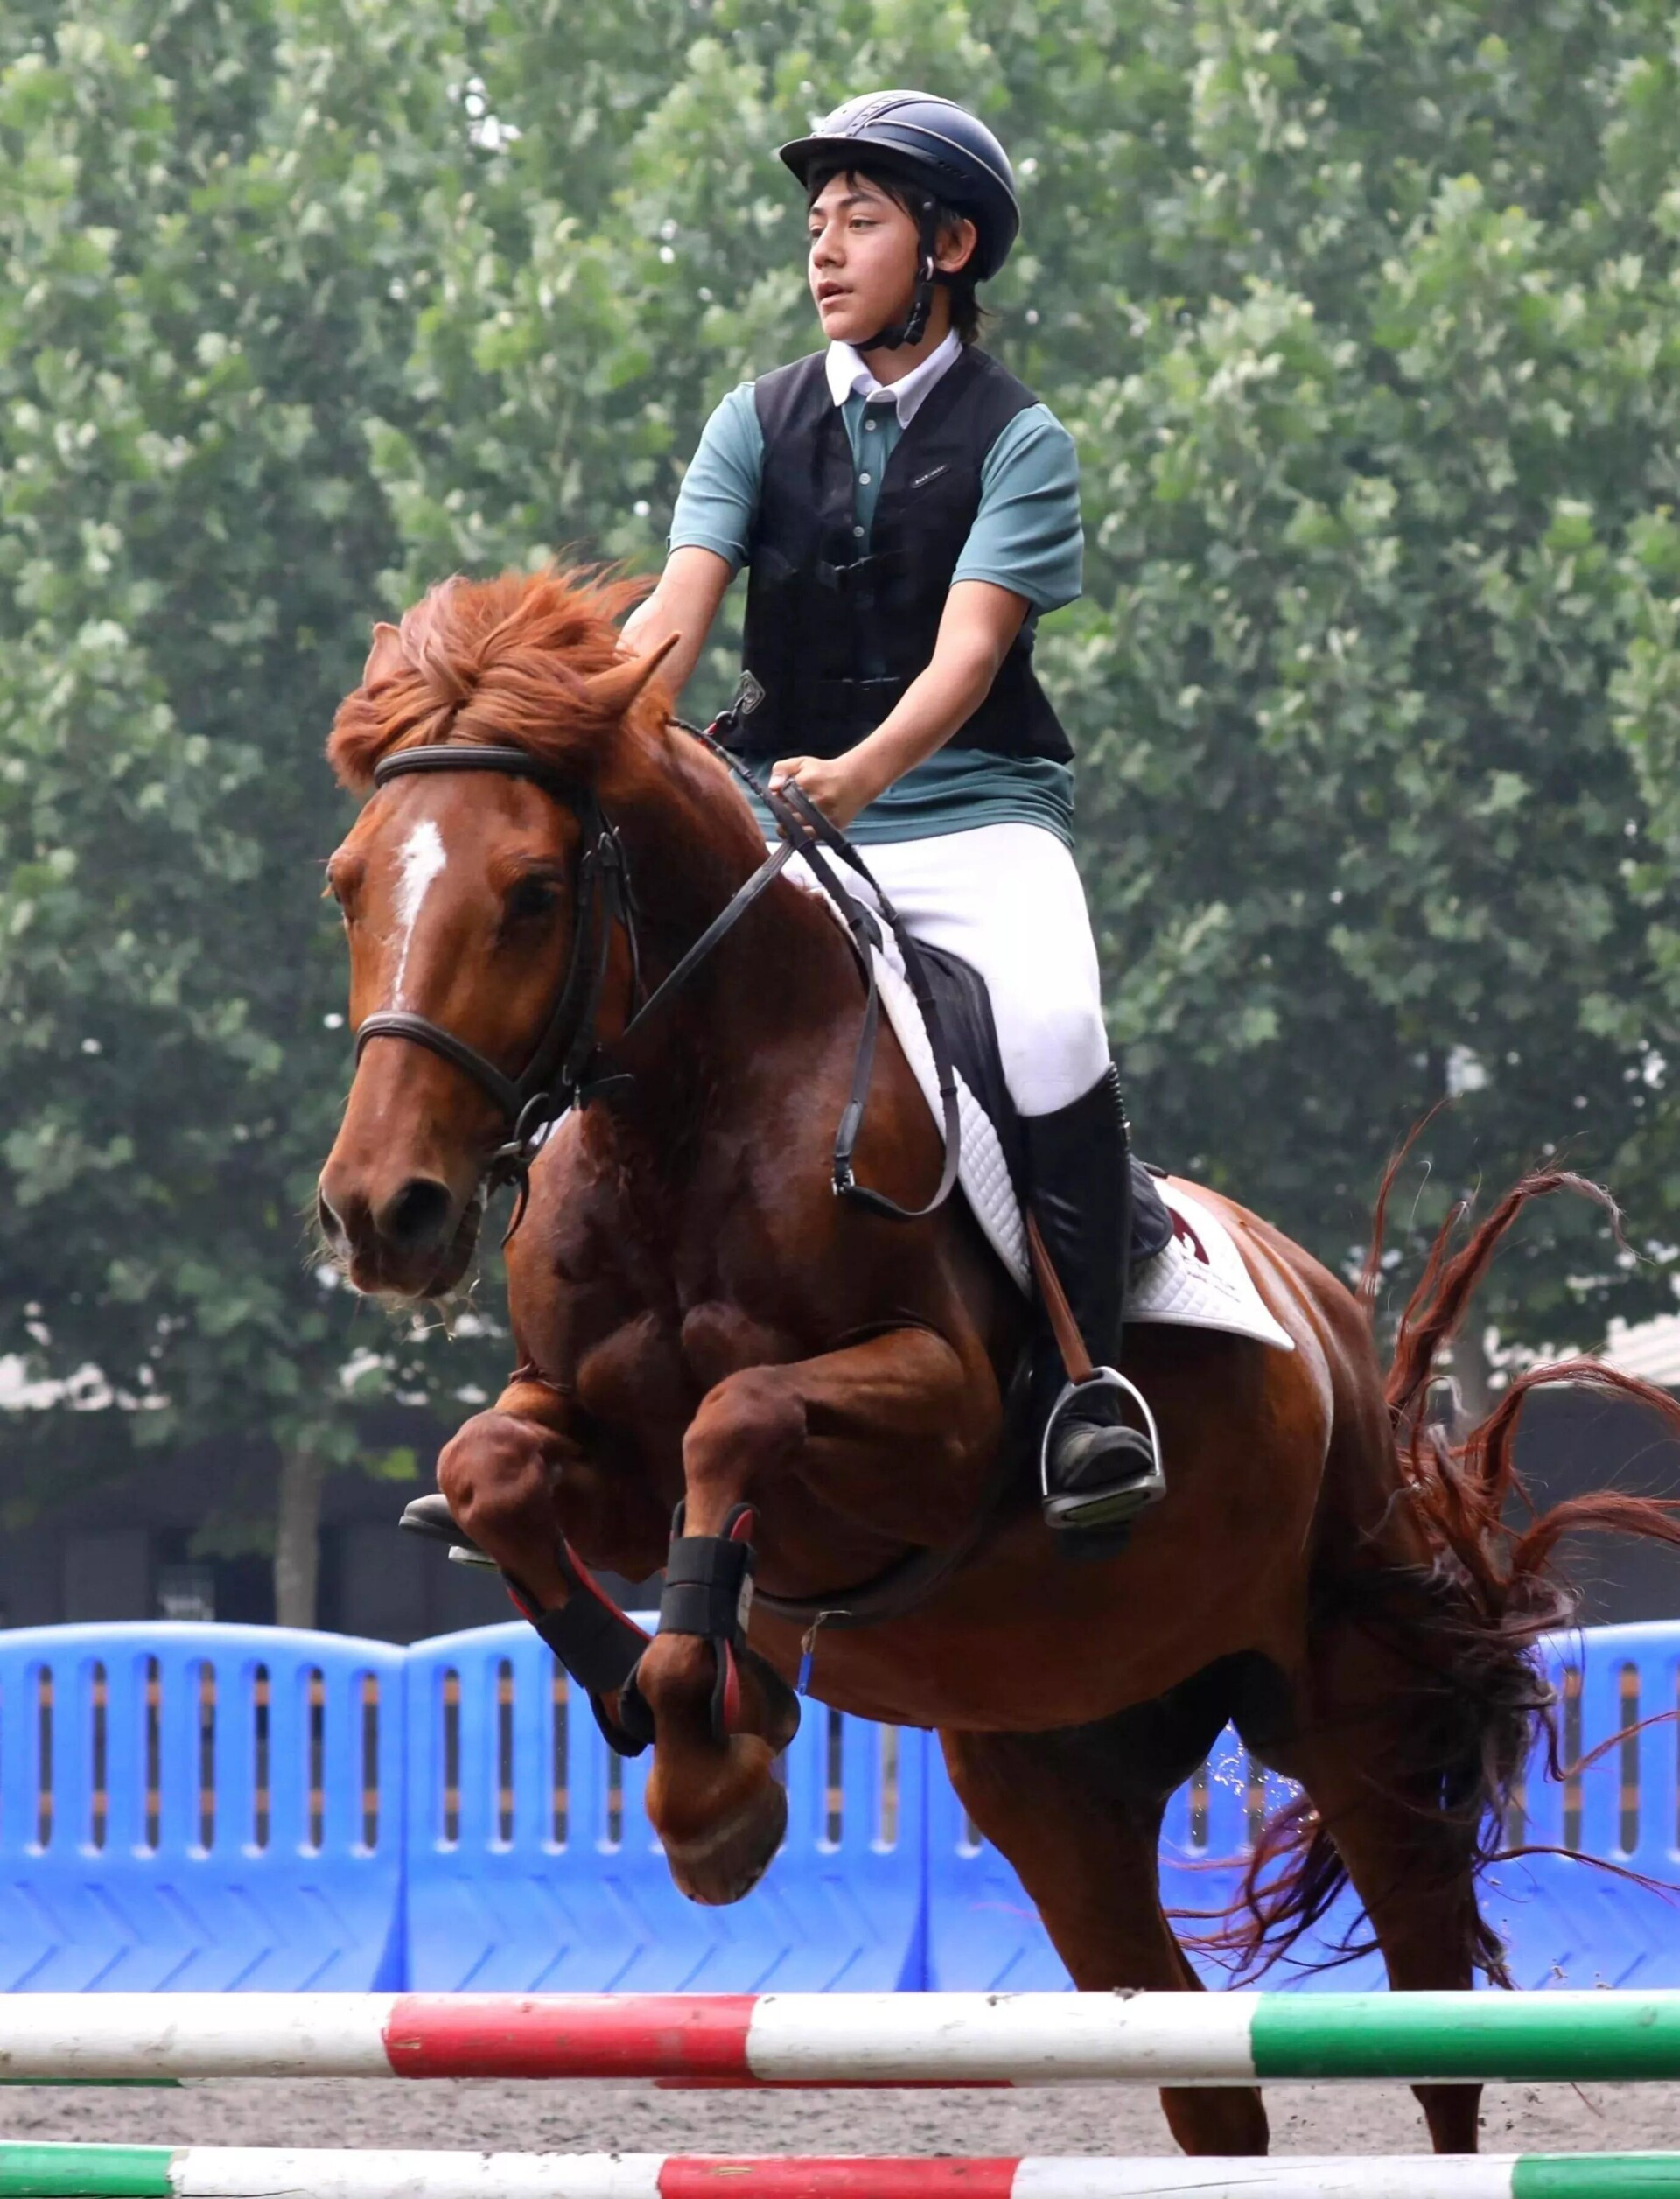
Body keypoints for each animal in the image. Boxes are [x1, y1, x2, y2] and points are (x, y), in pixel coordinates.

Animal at [317, 565, 1680, 2159]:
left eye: (534, 892)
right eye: (349, 882)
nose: (383, 1211)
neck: (688, 1120)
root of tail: (1336, 1326)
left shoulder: (943, 1432)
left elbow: (739, 1416)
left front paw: (716, 1768)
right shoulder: (598, 1449)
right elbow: (493, 1470)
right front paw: (673, 1708)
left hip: (1366, 1717)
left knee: (1434, 2033)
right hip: (1057, 1770)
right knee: (1209, 2087)